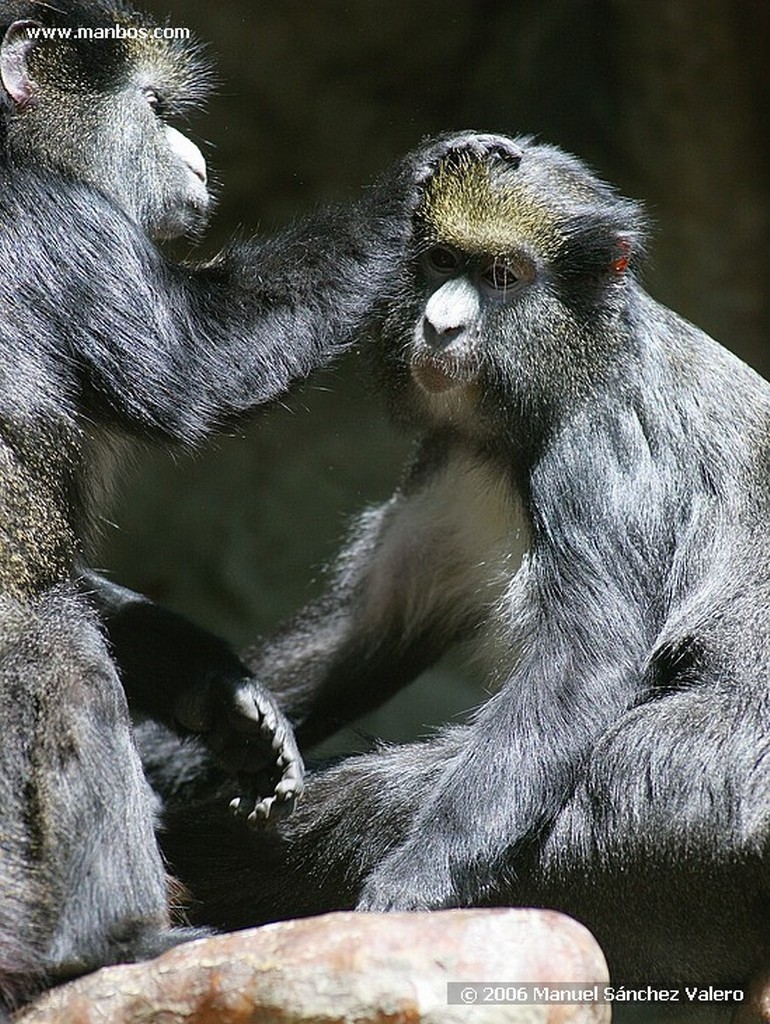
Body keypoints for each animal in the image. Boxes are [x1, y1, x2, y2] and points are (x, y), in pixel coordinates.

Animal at [1, 0, 524, 1007]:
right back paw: (110, 940)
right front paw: (417, 180)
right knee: (58, 643)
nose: (196, 159)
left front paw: (221, 691)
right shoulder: (53, 213)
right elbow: (198, 368)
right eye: (152, 107)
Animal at [157, 140, 770, 987]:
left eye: (502, 277)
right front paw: (205, 718)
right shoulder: (451, 457)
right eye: (442, 260)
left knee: (379, 801)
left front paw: (418, 878)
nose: (440, 324)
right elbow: (376, 621)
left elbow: (585, 662)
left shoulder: (606, 445)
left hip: (693, 788)